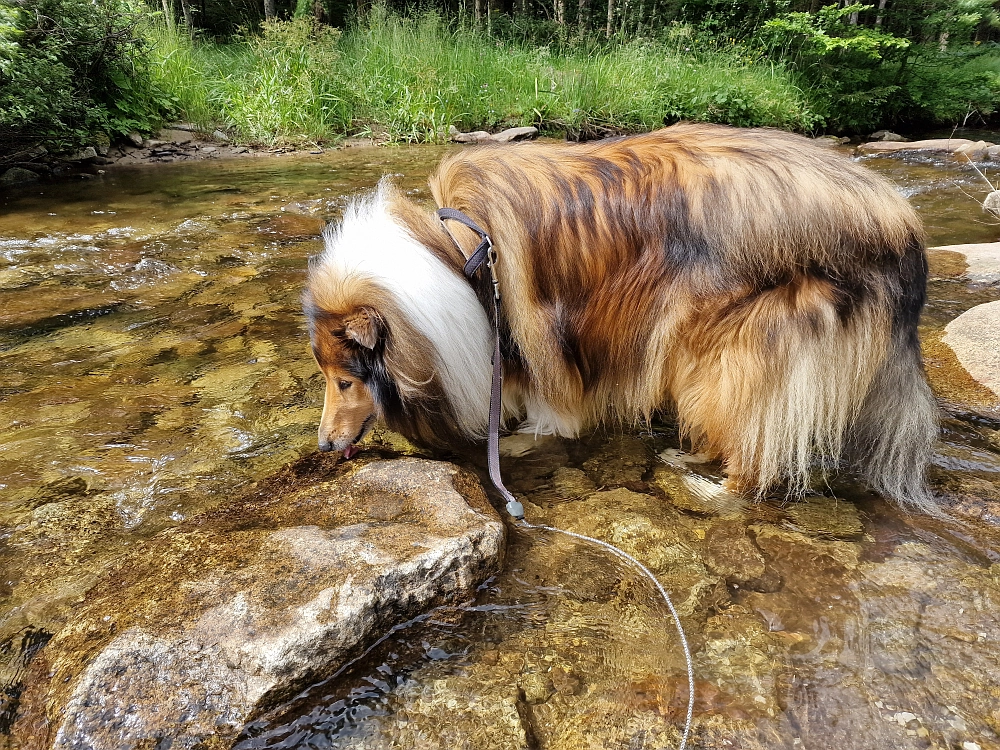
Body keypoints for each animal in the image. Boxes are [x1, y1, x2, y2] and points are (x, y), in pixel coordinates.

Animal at [302, 123, 936, 516]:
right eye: (329, 379)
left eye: (345, 380)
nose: (325, 446)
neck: (464, 257)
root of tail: (898, 219)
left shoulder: (542, 343)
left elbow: (547, 415)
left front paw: (517, 444)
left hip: (738, 349)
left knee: (756, 450)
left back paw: (710, 486)